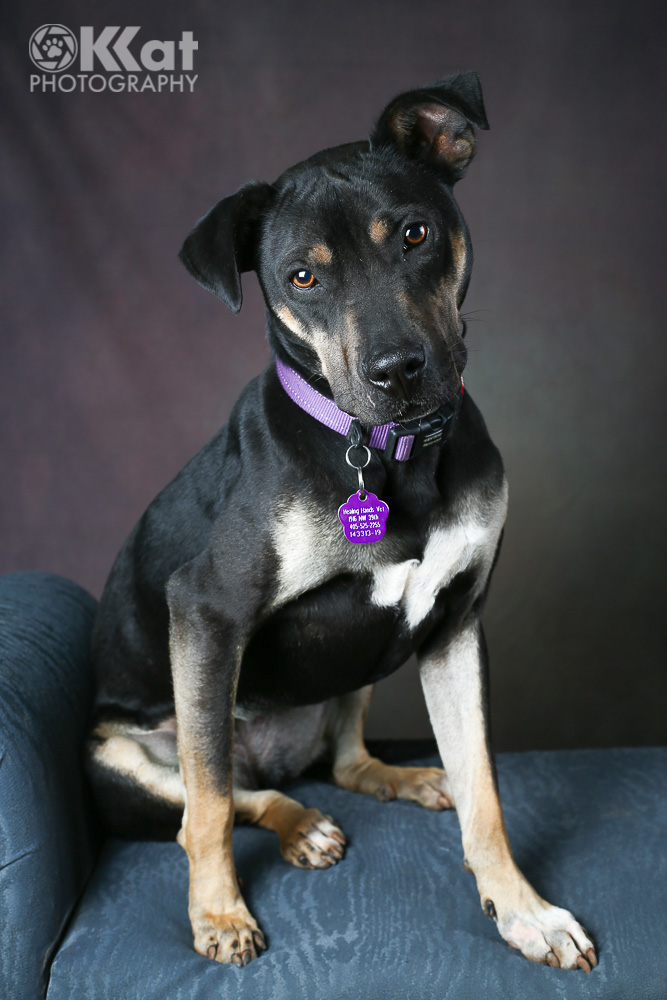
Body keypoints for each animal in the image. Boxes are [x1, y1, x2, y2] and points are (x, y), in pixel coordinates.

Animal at [85, 74, 600, 972]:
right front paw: (216, 915)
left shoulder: (456, 625)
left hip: (357, 668)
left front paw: (522, 910)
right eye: (300, 277)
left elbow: (484, 787)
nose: (398, 372)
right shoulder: (207, 613)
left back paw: (397, 780)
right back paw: (297, 828)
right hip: (122, 752)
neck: (390, 454)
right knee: (225, 795)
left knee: (341, 763)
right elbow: (209, 803)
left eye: (415, 233)